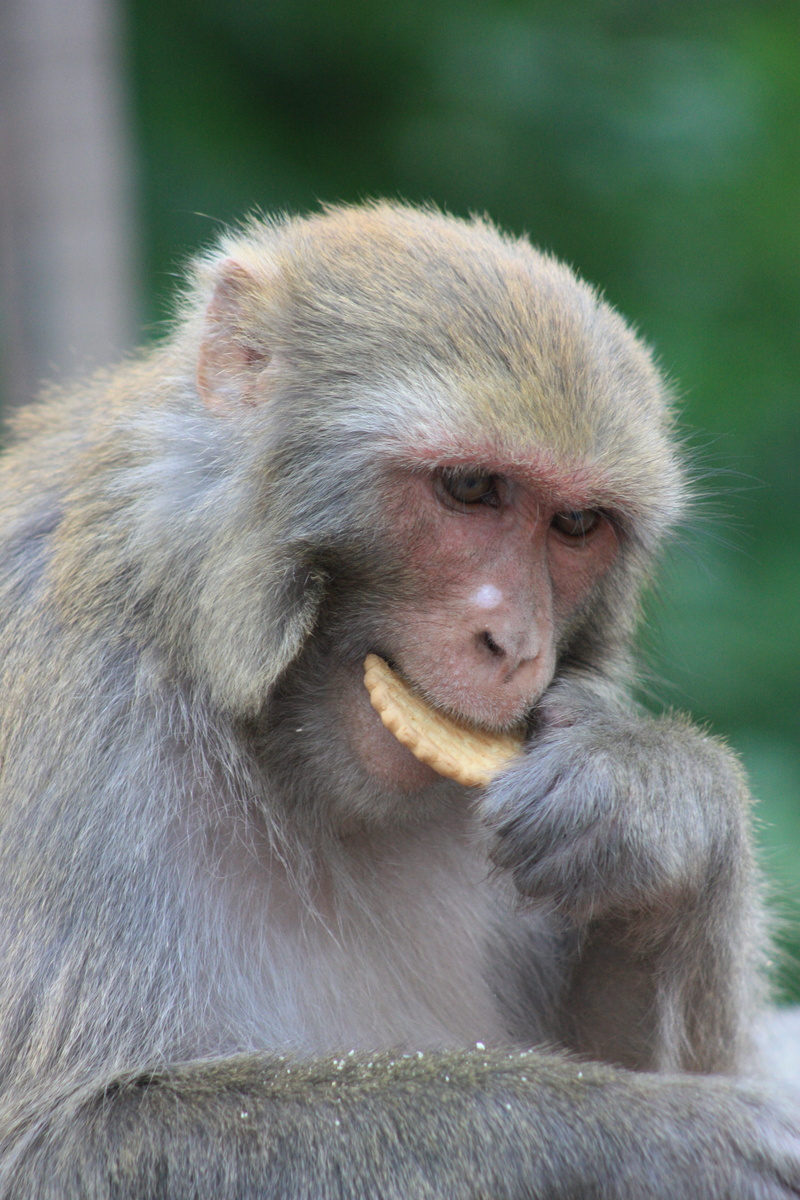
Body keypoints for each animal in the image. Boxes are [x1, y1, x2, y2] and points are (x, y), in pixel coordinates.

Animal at [0, 200, 798, 1199]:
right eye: (469, 487)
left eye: (577, 524)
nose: (516, 644)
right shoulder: (74, 703)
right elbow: (67, 1138)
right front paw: (669, 1136)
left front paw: (651, 797)